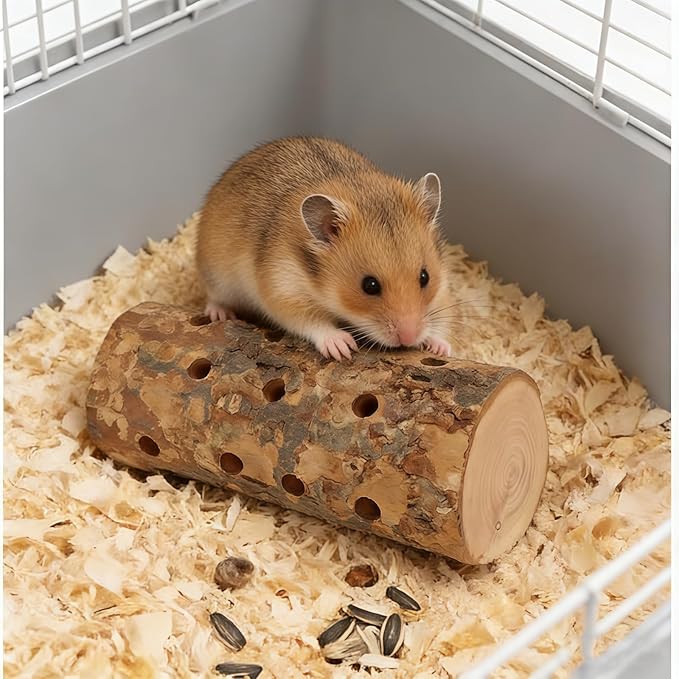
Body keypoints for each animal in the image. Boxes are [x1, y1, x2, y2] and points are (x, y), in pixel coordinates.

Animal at [196, 136, 452, 361]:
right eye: (369, 286)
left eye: (425, 277)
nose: (409, 338)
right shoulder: (283, 289)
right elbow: (310, 321)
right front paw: (342, 347)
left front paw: (441, 348)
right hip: (217, 277)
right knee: (214, 297)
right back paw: (220, 314)